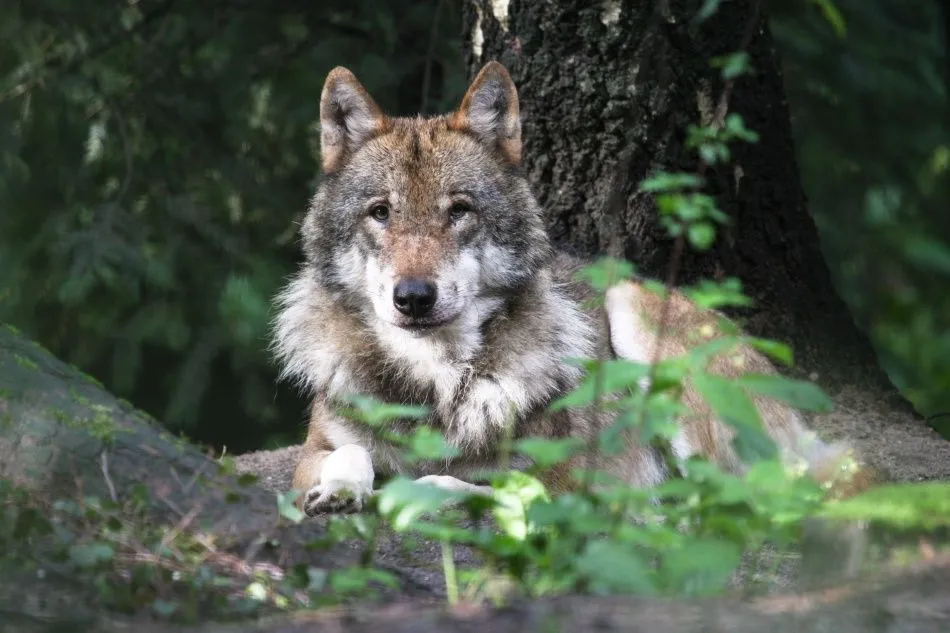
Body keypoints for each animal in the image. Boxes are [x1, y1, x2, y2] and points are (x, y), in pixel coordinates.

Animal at [272, 61, 870, 517]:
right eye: (380, 213)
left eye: (459, 211)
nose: (414, 296)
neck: (436, 380)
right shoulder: (315, 450)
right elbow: (349, 456)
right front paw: (341, 489)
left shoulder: (566, 485)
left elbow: (483, 485)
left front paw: (421, 488)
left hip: (634, 313)